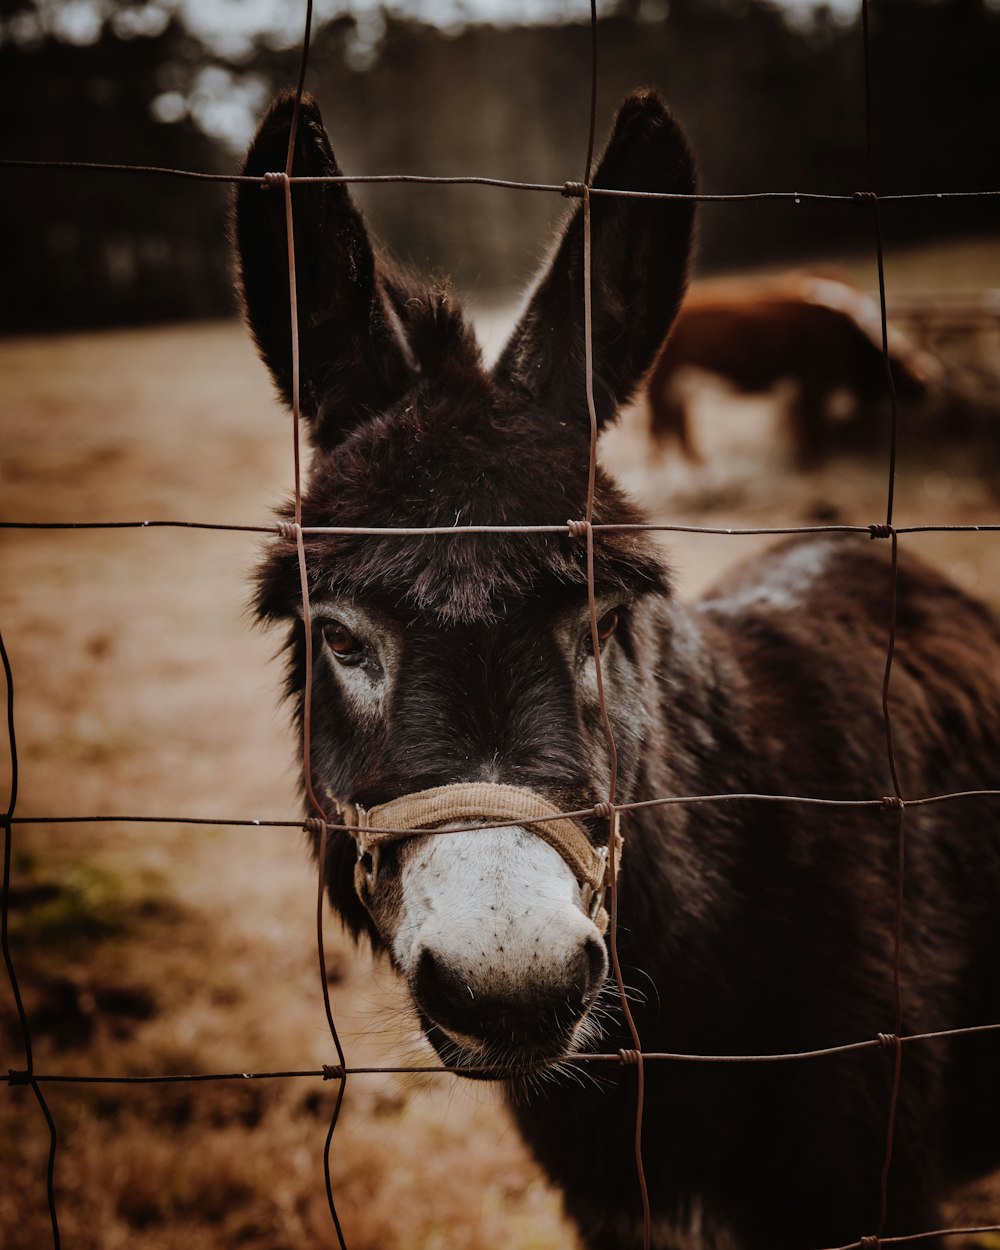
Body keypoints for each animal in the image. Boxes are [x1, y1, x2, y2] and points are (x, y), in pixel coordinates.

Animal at [645, 272, 940, 465]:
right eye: (900, 363)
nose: (928, 381)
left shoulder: (804, 384)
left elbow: (803, 422)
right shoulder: (814, 381)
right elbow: (812, 423)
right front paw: (813, 460)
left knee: (675, 428)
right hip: (664, 384)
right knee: (660, 429)